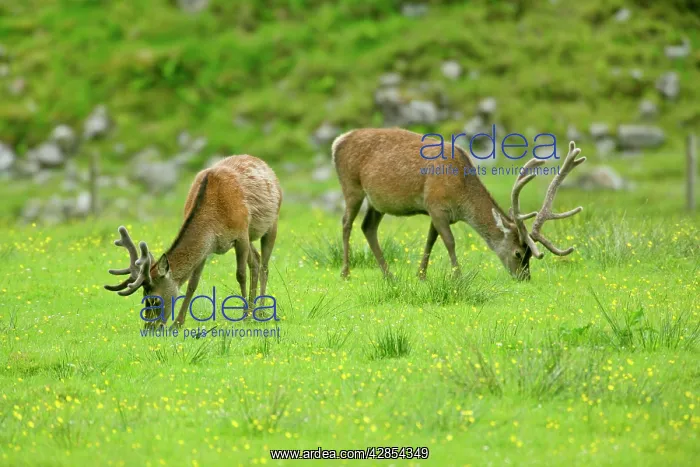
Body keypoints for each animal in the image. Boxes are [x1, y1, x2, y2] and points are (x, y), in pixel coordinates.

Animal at [104, 155, 282, 328]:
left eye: (155, 298)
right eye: (143, 297)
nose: (149, 329)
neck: (215, 221)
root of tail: (266, 166)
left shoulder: (241, 234)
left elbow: (241, 275)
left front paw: (245, 317)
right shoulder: (207, 248)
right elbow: (192, 284)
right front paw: (177, 323)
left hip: (271, 223)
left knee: (264, 266)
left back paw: (260, 311)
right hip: (250, 237)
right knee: (256, 261)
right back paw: (256, 308)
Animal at [331, 128, 585, 281]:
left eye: (530, 256)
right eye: (518, 253)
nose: (525, 278)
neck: (461, 196)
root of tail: (337, 141)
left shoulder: (438, 212)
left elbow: (431, 240)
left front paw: (421, 275)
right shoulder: (435, 204)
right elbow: (449, 241)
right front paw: (458, 276)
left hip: (377, 201)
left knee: (368, 227)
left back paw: (388, 274)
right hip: (351, 186)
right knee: (346, 223)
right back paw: (345, 272)